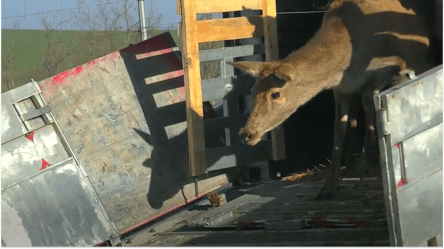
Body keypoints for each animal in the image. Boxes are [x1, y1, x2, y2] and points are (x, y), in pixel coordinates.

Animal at [227, 0, 436, 198]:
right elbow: (338, 130)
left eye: (275, 94)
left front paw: (371, 157)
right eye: (253, 90)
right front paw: (329, 186)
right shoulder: (340, 89)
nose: (246, 134)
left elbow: (369, 100)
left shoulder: (386, 70)